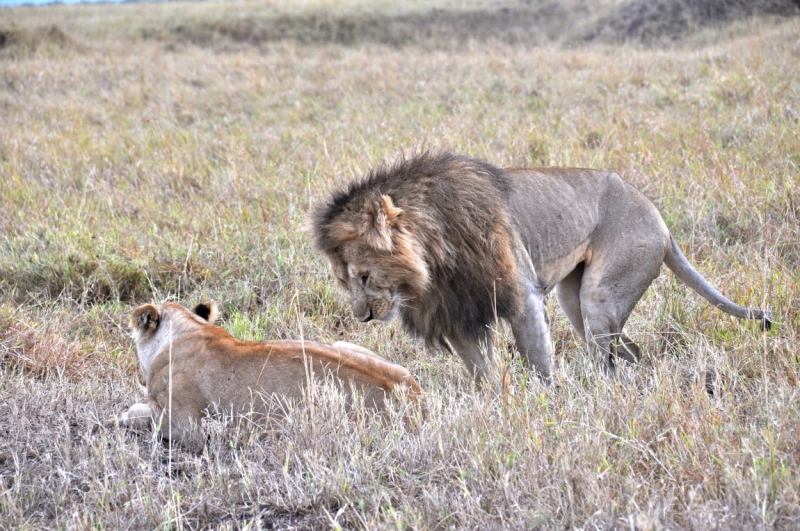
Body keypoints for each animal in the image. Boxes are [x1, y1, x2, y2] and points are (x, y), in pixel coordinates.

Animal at [121, 302, 422, 450]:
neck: (188, 328)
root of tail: (416, 400)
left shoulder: (185, 426)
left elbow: (134, 414)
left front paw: (126, 414)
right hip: (342, 344)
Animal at [310, 150, 772, 382]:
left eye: (365, 276)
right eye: (344, 282)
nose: (363, 317)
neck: (432, 263)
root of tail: (658, 217)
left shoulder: (520, 293)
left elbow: (537, 358)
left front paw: (544, 399)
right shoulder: (456, 312)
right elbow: (481, 371)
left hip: (601, 293)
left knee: (608, 354)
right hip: (576, 299)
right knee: (628, 350)